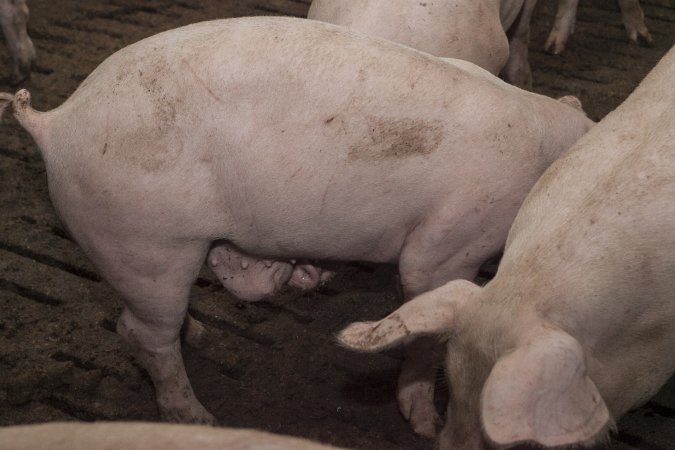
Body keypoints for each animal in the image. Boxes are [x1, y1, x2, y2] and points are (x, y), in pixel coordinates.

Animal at [0, 16, 592, 436]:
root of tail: (57, 122)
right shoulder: (449, 243)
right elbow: (424, 307)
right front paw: (426, 425)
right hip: (144, 241)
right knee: (141, 335)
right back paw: (200, 419)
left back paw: (198, 334)